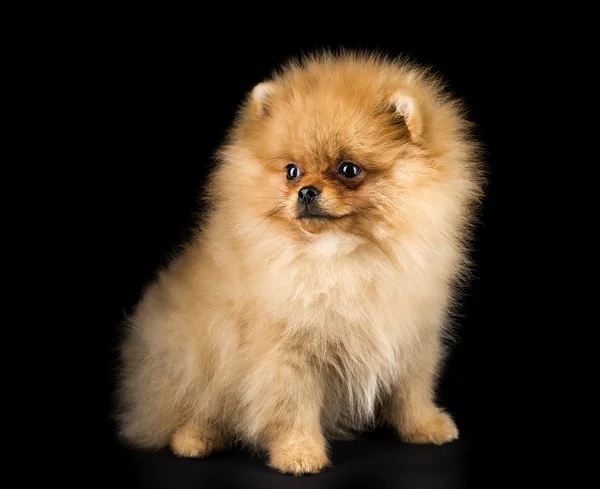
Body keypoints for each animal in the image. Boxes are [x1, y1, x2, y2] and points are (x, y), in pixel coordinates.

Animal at [116, 51, 482, 474]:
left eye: (348, 169)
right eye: (292, 171)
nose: (306, 191)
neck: (344, 256)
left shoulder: (411, 336)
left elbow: (412, 390)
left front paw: (425, 426)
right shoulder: (286, 351)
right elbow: (292, 407)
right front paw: (299, 453)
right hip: (192, 356)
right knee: (191, 407)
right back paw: (195, 438)